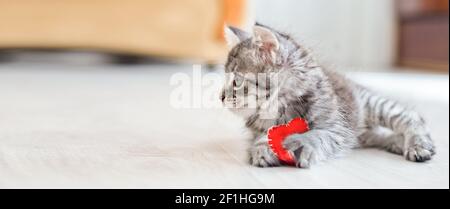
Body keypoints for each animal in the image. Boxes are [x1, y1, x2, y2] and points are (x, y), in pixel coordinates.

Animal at [221, 24, 436, 168]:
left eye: (236, 81)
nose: (221, 97)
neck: (282, 109)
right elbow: (263, 137)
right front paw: (262, 148)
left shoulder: (337, 128)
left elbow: (315, 135)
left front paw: (294, 142)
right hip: (363, 132)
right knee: (383, 135)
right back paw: (399, 144)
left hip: (374, 105)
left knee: (410, 117)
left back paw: (418, 145)